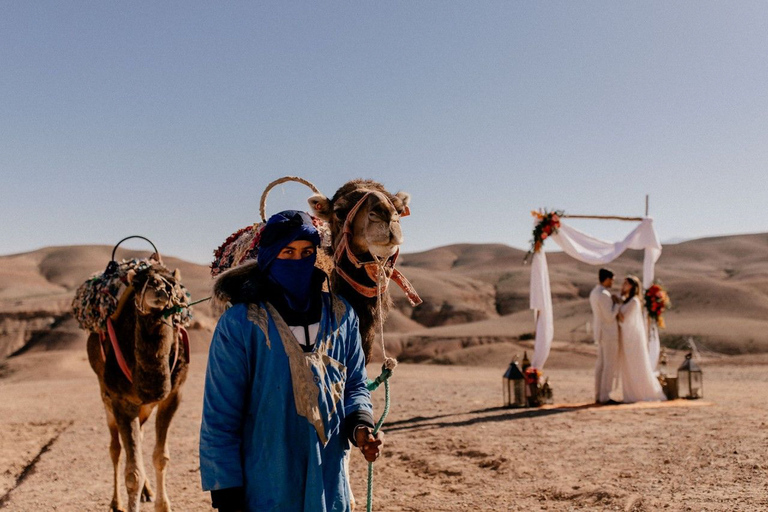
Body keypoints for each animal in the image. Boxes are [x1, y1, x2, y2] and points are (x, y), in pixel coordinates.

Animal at [85, 262, 189, 512]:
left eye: (173, 282)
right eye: (138, 282)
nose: (159, 288)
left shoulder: (173, 396)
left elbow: (160, 457)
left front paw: (163, 505)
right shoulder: (122, 401)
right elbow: (132, 473)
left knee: (139, 439)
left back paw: (147, 492)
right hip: (106, 397)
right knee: (115, 449)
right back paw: (116, 503)